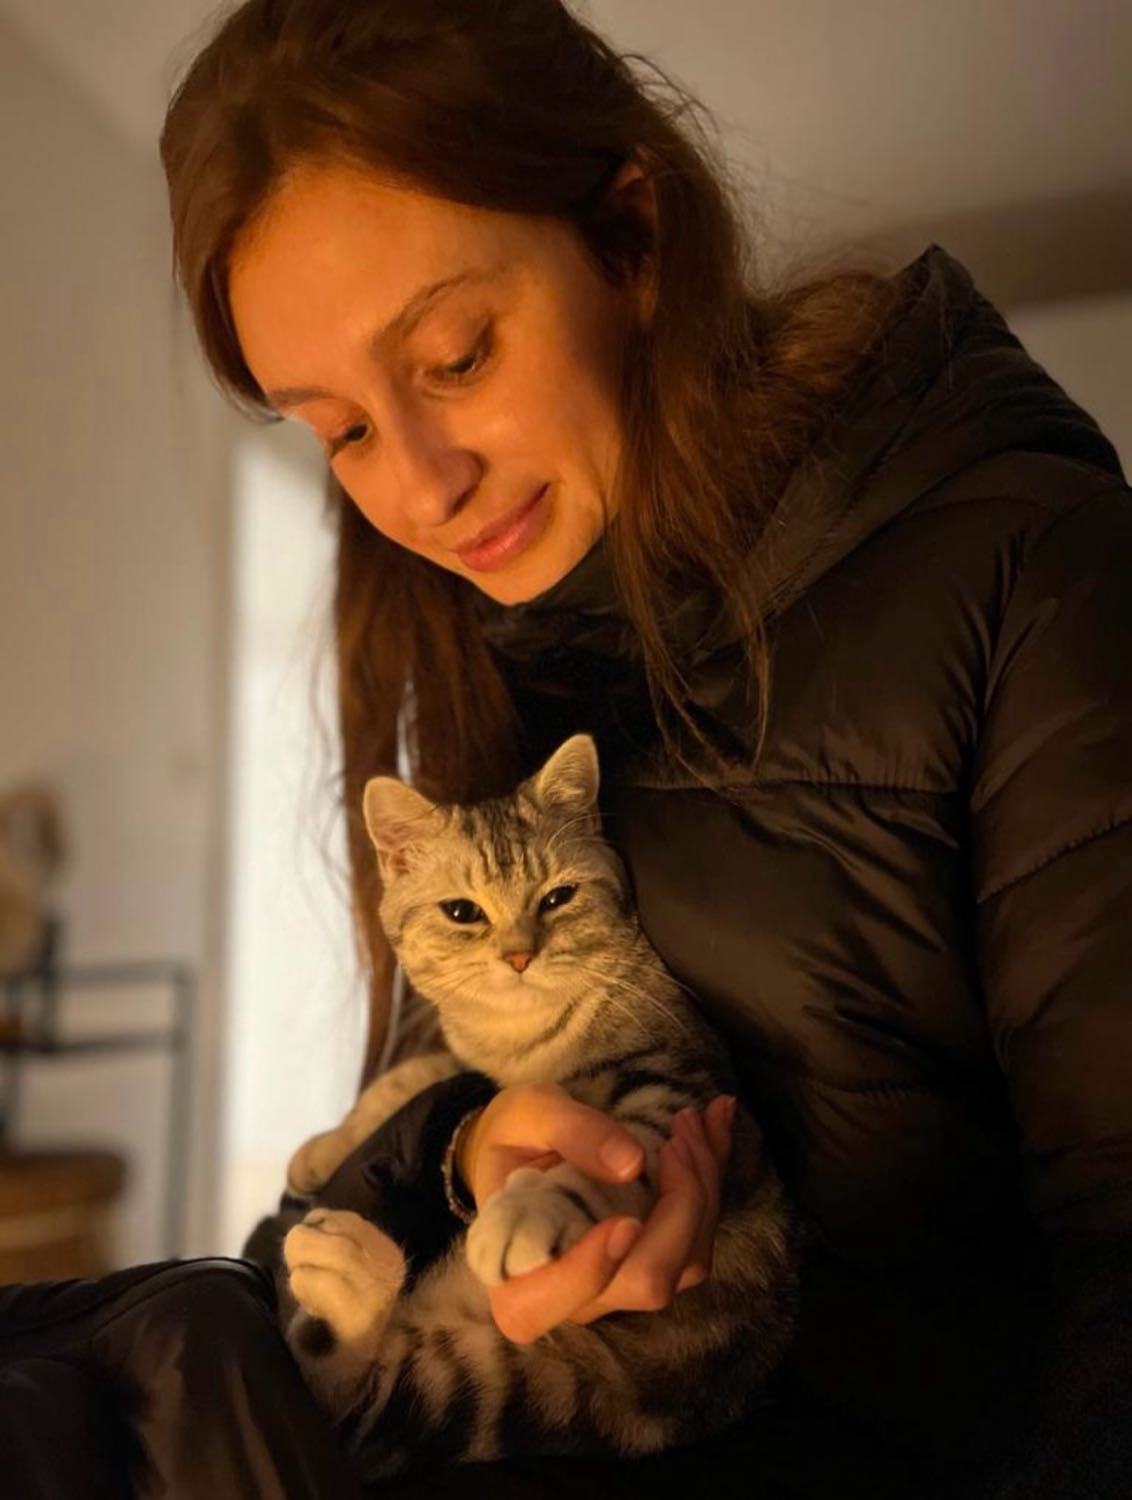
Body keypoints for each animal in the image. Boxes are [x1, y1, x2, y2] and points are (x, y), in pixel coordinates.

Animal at [278, 733, 797, 1478]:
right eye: (462, 912)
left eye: (558, 897)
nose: (519, 956)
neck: (525, 1044)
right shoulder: (473, 1063)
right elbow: (411, 1074)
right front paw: (330, 1141)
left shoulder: (676, 1094)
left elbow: (602, 1165)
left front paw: (526, 1213)